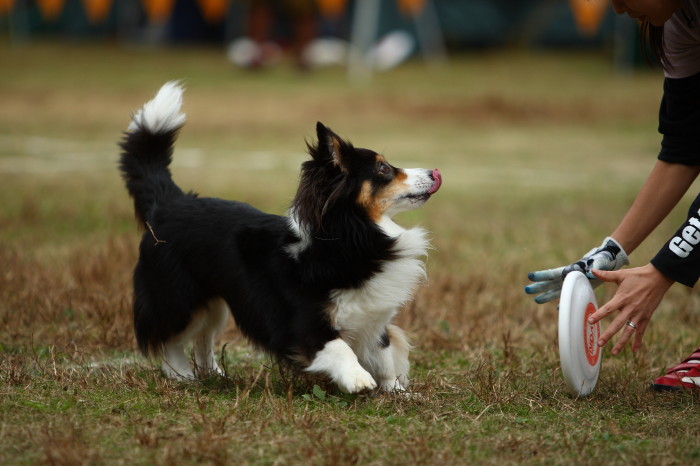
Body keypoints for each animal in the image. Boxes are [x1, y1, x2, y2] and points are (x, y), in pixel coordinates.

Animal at [118, 82, 440, 392]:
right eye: (383, 169)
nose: (434, 172)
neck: (351, 238)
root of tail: (169, 201)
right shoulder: (304, 324)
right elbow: (339, 348)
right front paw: (358, 379)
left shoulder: (374, 321)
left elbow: (385, 357)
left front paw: (397, 391)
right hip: (178, 297)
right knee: (171, 339)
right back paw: (182, 377)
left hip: (214, 303)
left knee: (203, 338)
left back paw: (214, 375)